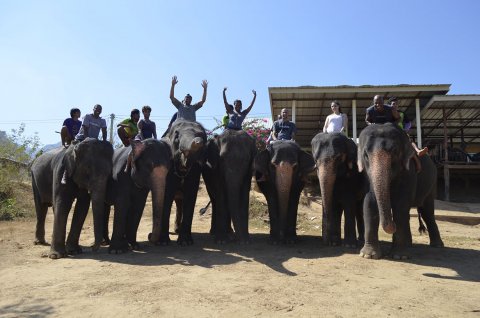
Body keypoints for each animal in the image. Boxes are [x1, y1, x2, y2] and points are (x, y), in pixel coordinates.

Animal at [358, 123, 444, 260]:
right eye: (365, 155)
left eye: (395, 152)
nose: (392, 226)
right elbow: (369, 203)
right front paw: (368, 255)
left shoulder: (409, 170)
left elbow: (400, 205)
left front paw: (399, 256)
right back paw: (409, 244)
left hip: (432, 184)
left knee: (427, 212)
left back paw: (437, 245)